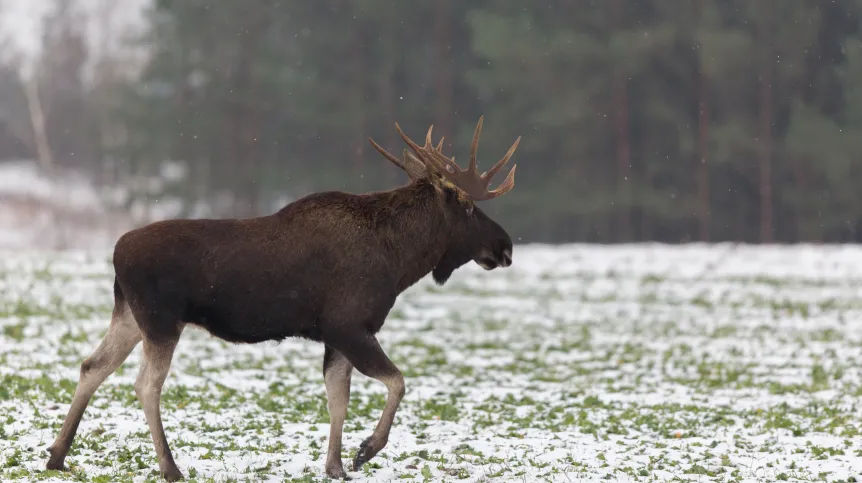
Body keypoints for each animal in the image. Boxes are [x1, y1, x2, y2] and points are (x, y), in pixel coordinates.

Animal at [45, 116, 520, 480]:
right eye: (467, 206)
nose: (505, 246)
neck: (400, 260)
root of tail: (115, 252)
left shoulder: (337, 336)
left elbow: (338, 398)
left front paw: (335, 466)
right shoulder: (349, 325)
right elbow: (397, 381)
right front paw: (366, 449)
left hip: (129, 315)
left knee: (92, 366)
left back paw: (57, 455)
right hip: (161, 320)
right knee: (146, 385)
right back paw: (170, 467)